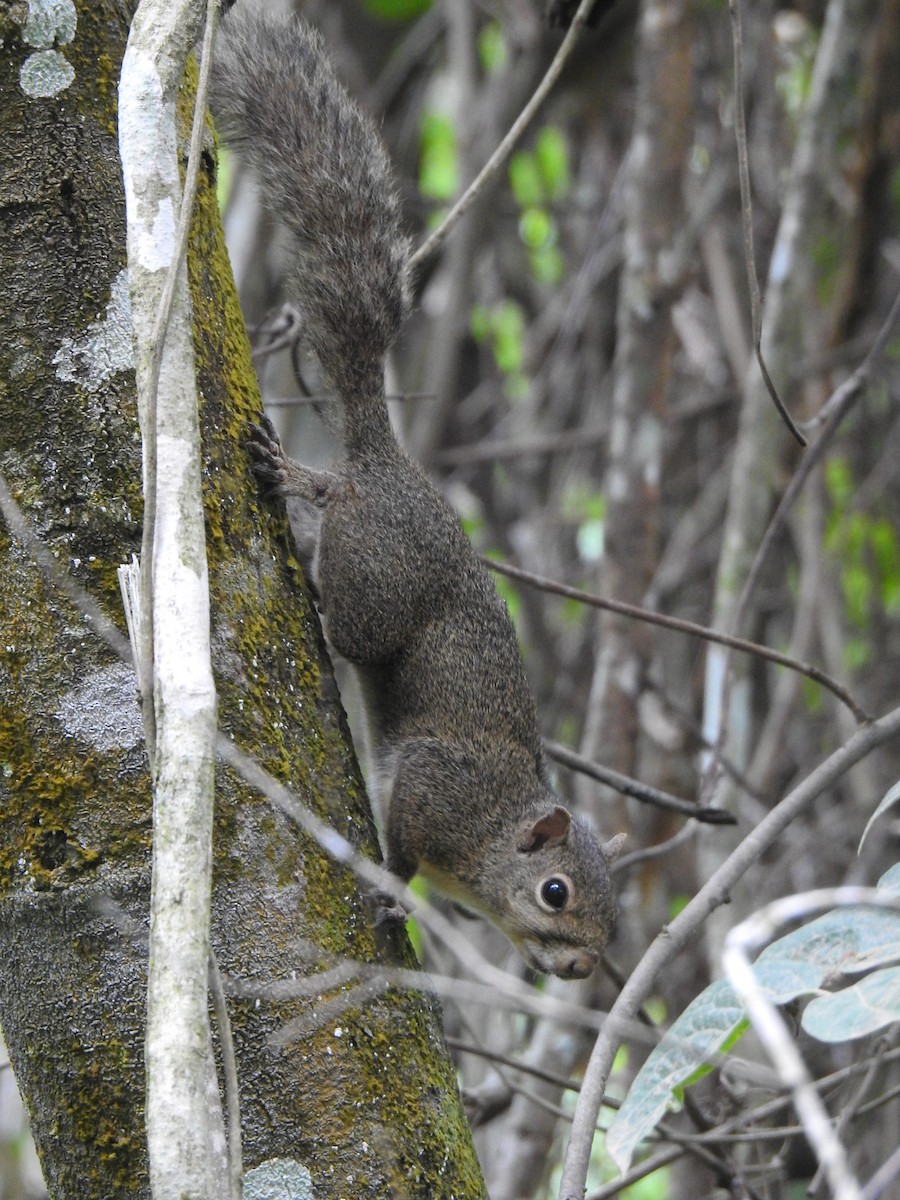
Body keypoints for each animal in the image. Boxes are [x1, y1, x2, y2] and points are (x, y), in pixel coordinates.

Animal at [210, 2, 623, 979]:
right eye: (557, 894)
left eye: (617, 920)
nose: (580, 972)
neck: (496, 837)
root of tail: (386, 462)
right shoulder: (438, 790)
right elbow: (402, 843)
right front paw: (394, 892)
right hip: (377, 578)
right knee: (345, 585)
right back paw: (306, 491)